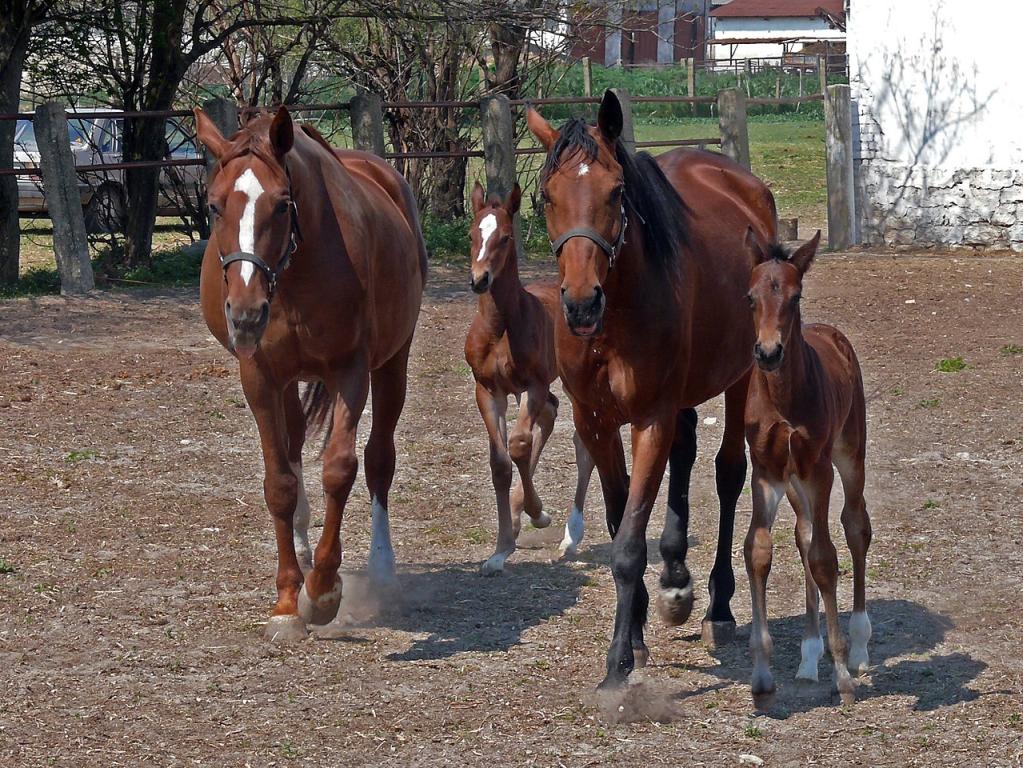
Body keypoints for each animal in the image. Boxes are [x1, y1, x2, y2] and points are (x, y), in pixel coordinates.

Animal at [193, 106, 427, 641]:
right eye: (215, 206)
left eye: (282, 206)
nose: (245, 313)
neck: (295, 275)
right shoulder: (260, 376)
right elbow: (279, 482)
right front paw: (286, 600)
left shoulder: (351, 371)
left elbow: (341, 469)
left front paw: (321, 592)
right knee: (295, 443)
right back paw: (299, 547)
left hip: (393, 363)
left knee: (379, 458)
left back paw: (380, 568)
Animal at [464, 181, 595, 574]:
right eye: (472, 234)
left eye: (506, 237)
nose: (480, 280)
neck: (499, 328)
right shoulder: (488, 389)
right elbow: (500, 462)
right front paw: (501, 548)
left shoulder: (532, 384)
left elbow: (520, 444)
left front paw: (538, 513)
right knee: (551, 414)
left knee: (583, 442)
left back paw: (570, 536)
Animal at [526, 90, 778, 688]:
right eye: (546, 196)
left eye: (617, 191)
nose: (580, 303)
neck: (616, 317)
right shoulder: (595, 421)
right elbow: (621, 522)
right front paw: (638, 628)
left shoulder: (649, 420)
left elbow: (626, 546)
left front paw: (618, 661)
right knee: (685, 453)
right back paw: (676, 576)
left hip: (740, 377)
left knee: (728, 472)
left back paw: (717, 606)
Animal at [742, 230, 871, 705]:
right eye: (750, 297)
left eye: (795, 297)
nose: (768, 352)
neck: (783, 396)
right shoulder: (765, 471)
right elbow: (759, 551)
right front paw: (762, 675)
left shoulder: (818, 469)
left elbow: (826, 558)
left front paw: (843, 675)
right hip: (794, 482)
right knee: (804, 533)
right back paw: (808, 656)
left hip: (850, 455)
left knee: (854, 526)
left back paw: (859, 647)